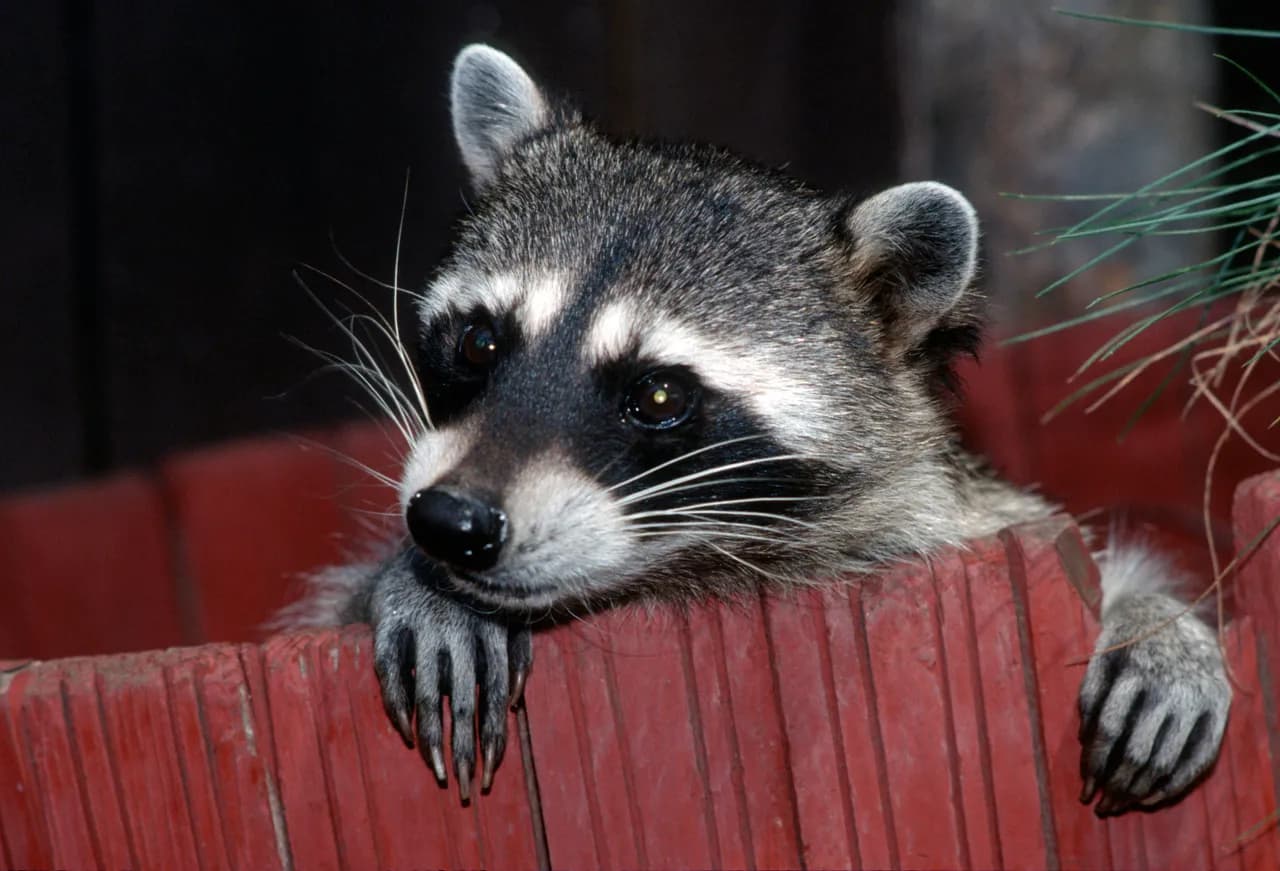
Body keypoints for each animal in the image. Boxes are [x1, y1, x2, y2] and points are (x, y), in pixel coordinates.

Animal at [285, 44, 1231, 816]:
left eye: (657, 395)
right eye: (480, 341)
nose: (452, 522)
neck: (687, 570)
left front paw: (1153, 618)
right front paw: (411, 582)